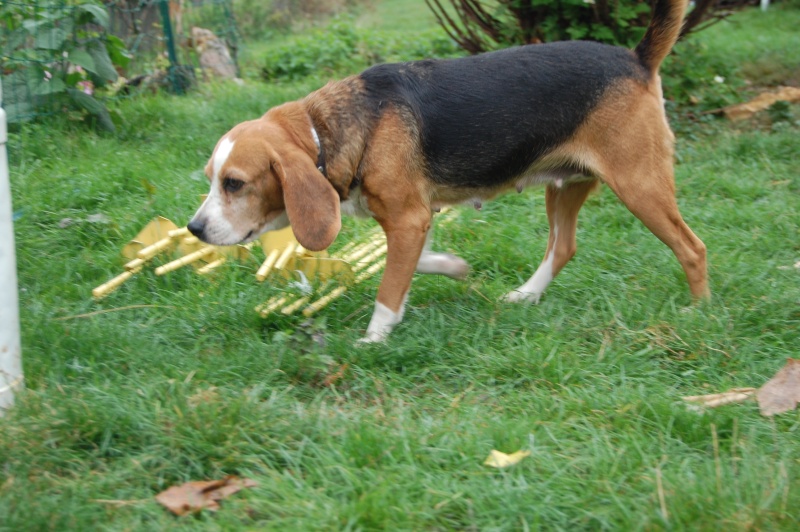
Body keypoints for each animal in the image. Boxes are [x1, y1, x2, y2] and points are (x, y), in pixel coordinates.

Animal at [188, 0, 708, 340]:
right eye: (210, 177)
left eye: (234, 184)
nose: (194, 229)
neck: (326, 126)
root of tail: (636, 58)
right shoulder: (416, 220)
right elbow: (411, 263)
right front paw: (455, 268)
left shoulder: (407, 219)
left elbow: (389, 287)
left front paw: (373, 340)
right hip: (565, 185)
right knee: (563, 248)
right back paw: (525, 296)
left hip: (640, 186)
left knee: (692, 248)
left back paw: (699, 314)